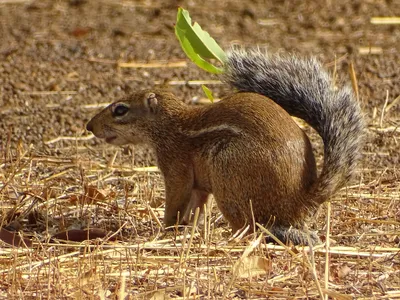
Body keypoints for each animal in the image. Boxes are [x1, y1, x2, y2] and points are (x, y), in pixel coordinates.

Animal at [86, 49, 364, 245]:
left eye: (120, 110)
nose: (89, 126)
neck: (169, 125)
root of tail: (301, 200)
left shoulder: (176, 167)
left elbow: (175, 200)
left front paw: (165, 230)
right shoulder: (199, 186)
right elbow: (197, 207)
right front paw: (187, 229)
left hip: (227, 171)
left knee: (249, 226)